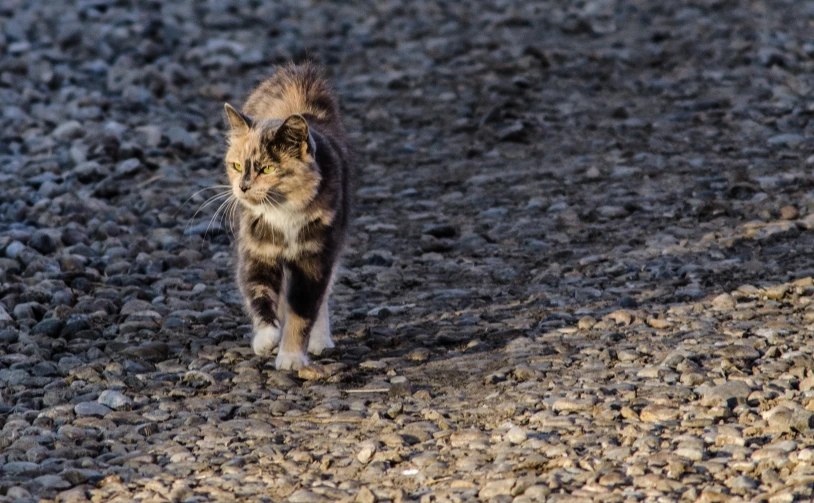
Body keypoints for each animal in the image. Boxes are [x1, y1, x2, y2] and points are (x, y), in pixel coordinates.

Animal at [223, 63, 354, 370]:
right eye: (236, 166)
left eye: (268, 169)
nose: (242, 187)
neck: (283, 215)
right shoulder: (256, 250)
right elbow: (259, 292)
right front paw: (267, 338)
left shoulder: (315, 257)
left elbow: (303, 310)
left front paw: (291, 356)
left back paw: (320, 341)